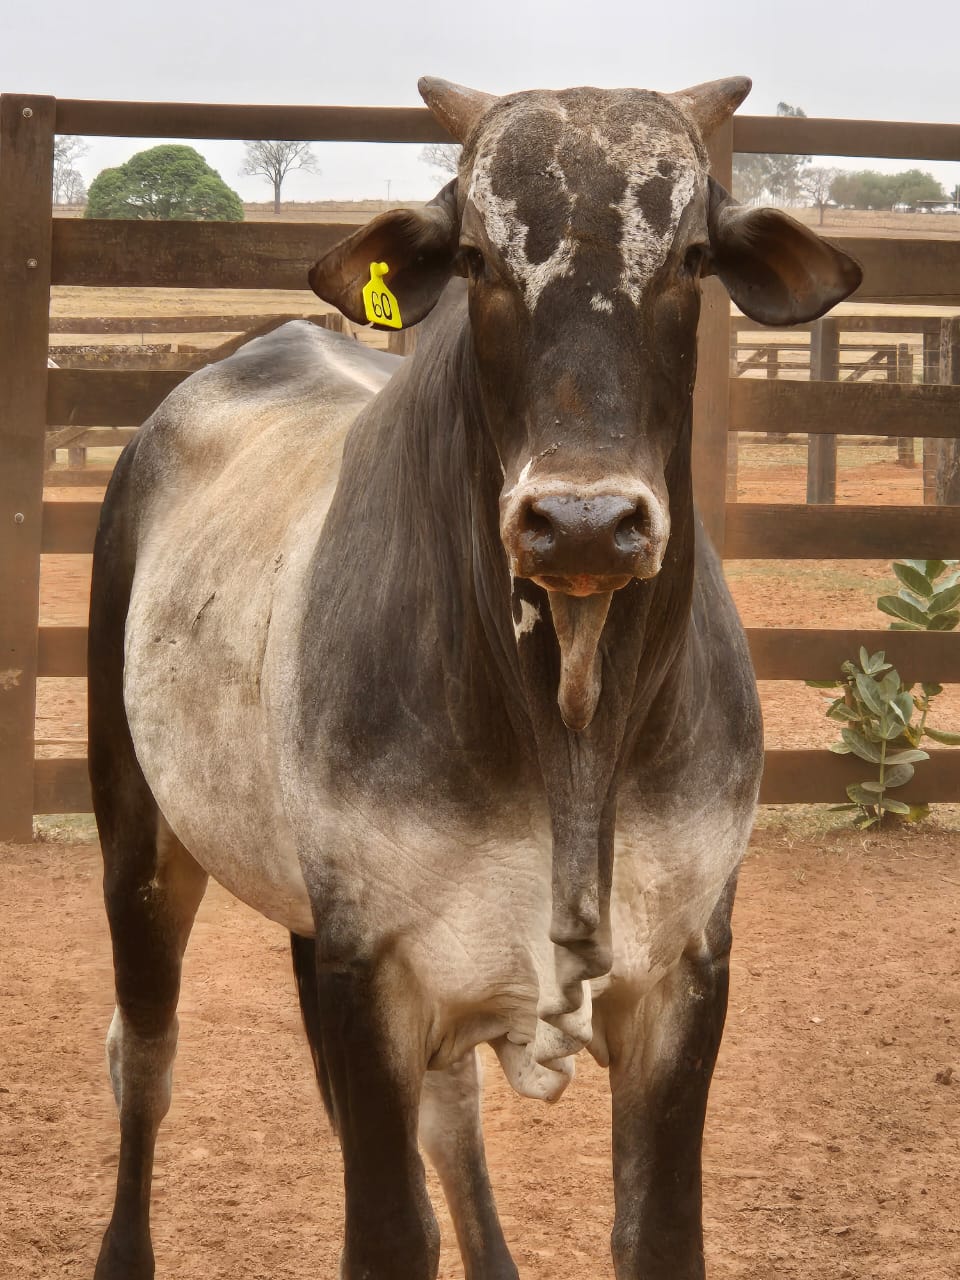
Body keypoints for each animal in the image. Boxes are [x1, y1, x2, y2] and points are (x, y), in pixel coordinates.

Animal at [88, 74, 855, 1274]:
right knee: (148, 1054)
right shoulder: (371, 967)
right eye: (479, 258)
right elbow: (388, 1229)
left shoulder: (686, 971)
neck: (573, 726)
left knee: (448, 1117)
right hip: (138, 831)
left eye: (692, 255)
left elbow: (655, 1229)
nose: (582, 521)